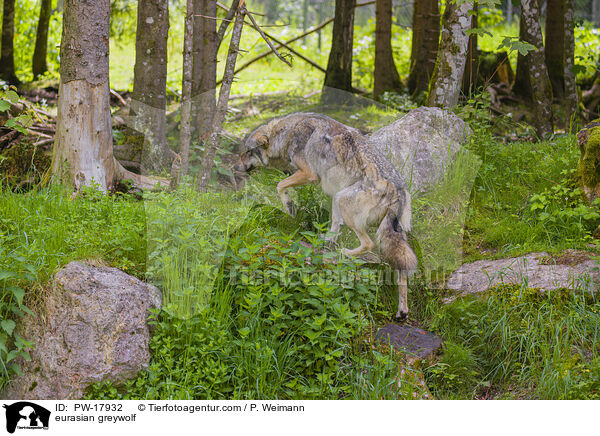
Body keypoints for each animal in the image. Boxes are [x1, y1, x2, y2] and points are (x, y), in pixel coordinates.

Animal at [234, 112, 418, 316]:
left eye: (247, 152)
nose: (235, 167)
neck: (285, 133)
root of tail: (398, 191)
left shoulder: (309, 174)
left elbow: (279, 185)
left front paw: (290, 206)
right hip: (364, 215)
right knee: (400, 269)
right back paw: (402, 310)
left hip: (342, 201)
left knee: (368, 243)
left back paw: (345, 252)